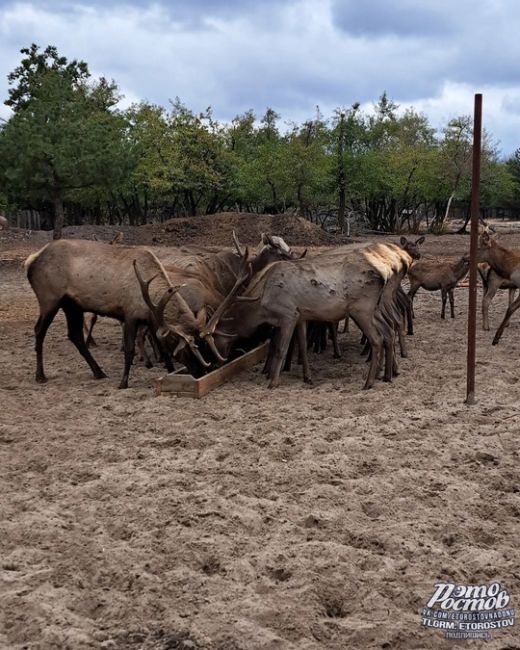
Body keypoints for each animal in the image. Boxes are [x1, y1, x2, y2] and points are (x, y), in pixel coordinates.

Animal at [24, 240, 213, 388]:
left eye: (203, 344)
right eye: (187, 348)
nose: (202, 371)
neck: (150, 299)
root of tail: (30, 262)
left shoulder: (151, 320)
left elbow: (163, 350)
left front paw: (170, 371)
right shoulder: (129, 315)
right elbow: (129, 350)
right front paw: (123, 383)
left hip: (72, 306)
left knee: (74, 335)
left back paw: (98, 372)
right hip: (49, 300)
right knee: (39, 330)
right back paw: (40, 375)